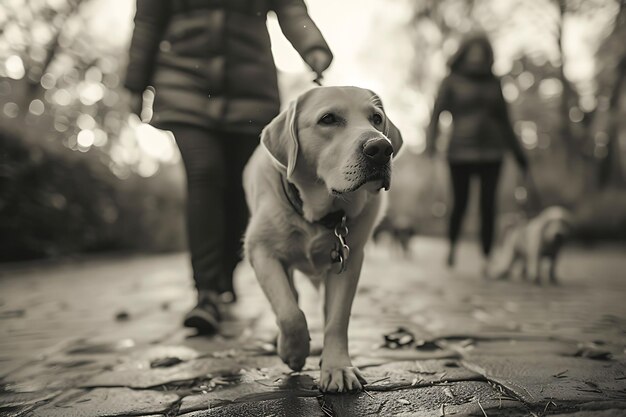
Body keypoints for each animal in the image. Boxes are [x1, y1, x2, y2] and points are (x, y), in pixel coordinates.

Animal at [241, 86, 402, 392]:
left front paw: (337, 367)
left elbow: (337, 319)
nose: (381, 148)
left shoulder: (349, 259)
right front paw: (293, 351)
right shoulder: (261, 252)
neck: (320, 217)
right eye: (328, 119)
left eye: (376, 118)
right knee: (290, 298)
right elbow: (290, 313)